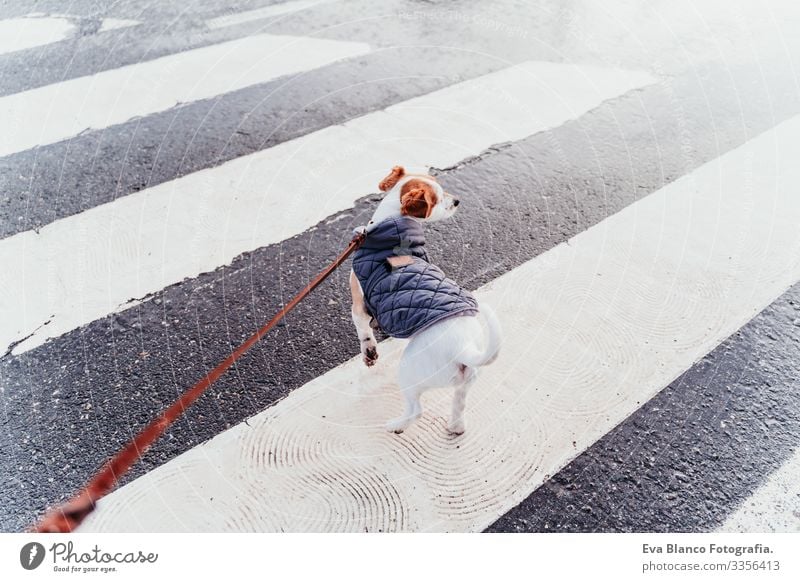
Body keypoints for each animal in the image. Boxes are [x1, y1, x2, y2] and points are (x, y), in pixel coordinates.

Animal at [350, 167, 500, 436]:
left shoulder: (358, 305)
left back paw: (396, 426)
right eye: (439, 198)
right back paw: (455, 428)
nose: (457, 201)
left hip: (408, 372)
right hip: (465, 382)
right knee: (459, 407)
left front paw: (369, 354)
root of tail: (464, 348)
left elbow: (363, 331)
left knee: (415, 410)